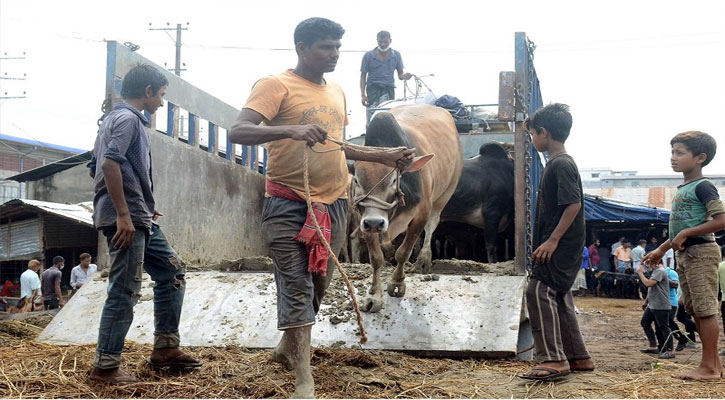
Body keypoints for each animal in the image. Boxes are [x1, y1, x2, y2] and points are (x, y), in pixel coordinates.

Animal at [353, 104, 462, 312]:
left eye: (393, 180)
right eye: (356, 180)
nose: (375, 222)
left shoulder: (420, 215)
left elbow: (403, 252)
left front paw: (397, 284)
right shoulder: (365, 220)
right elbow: (376, 258)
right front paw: (374, 297)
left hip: (445, 194)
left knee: (431, 227)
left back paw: (423, 260)